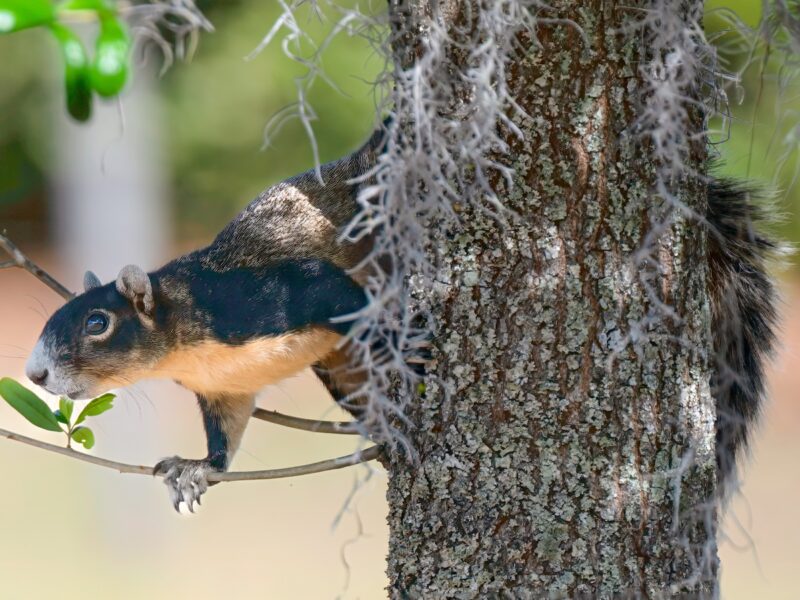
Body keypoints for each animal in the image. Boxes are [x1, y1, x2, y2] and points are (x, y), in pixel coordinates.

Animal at [23, 118, 778, 510]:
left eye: (97, 323)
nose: (33, 374)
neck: (186, 340)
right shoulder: (225, 390)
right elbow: (225, 440)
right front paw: (194, 470)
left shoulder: (267, 299)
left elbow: (335, 291)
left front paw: (405, 336)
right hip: (341, 371)